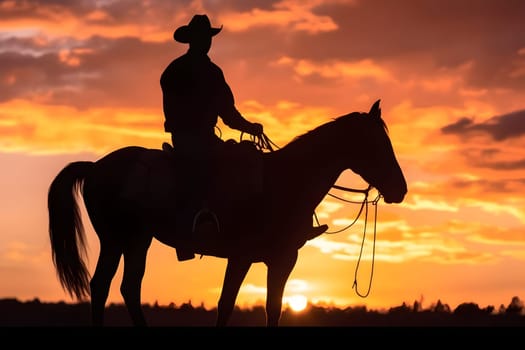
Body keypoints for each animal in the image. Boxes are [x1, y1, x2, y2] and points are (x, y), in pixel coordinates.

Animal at [48, 100, 406, 326]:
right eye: (378, 144)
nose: (400, 189)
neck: (285, 181)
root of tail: (95, 167)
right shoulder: (241, 257)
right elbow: (226, 305)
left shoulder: (282, 261)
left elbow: (272, 309)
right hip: (116, 239)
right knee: (103, 287)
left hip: (137, 241)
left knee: (126, 289)